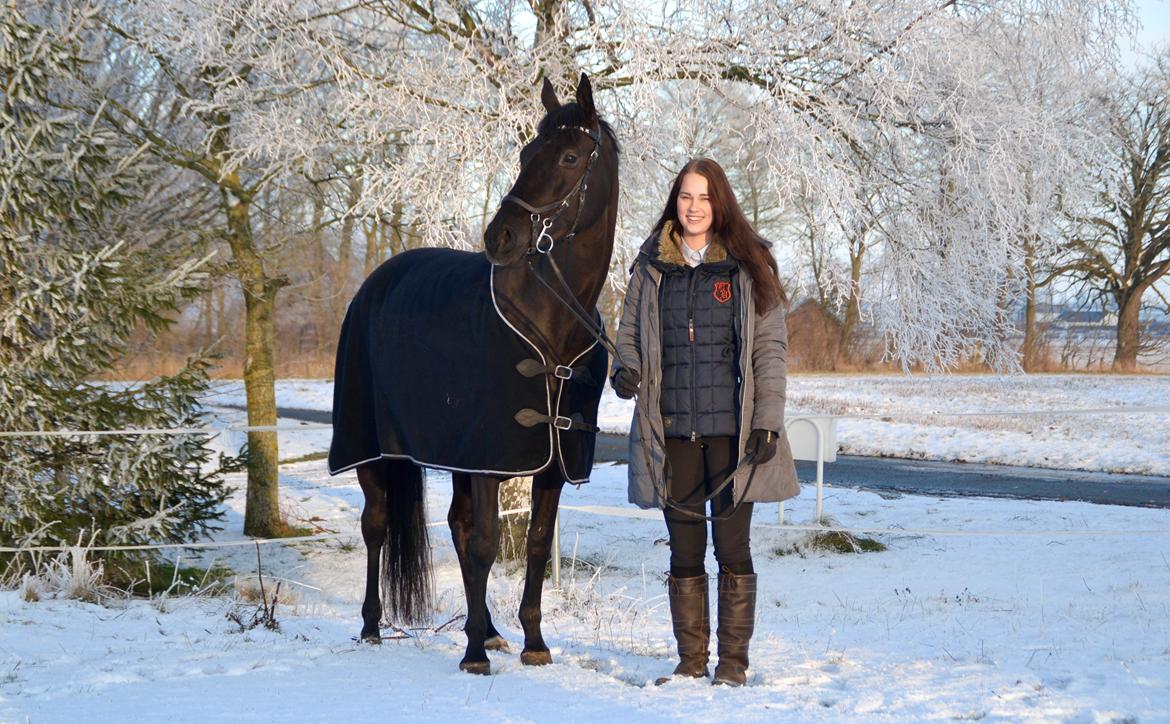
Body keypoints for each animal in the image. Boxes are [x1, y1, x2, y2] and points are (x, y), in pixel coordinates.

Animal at [327, 73, 622, 673]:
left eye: (571, 156)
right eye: (526, 153)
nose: (500, 237)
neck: (552, 317)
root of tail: (376, 282)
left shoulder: (550, 465)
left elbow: (535, 543)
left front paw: (532, 642)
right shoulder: (489, 457)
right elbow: (487, 544)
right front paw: (471, 657)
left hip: (457, 457)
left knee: (457, 526)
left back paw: (486, 629)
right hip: (372, 449)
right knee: (377, 525)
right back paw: (372, 627)